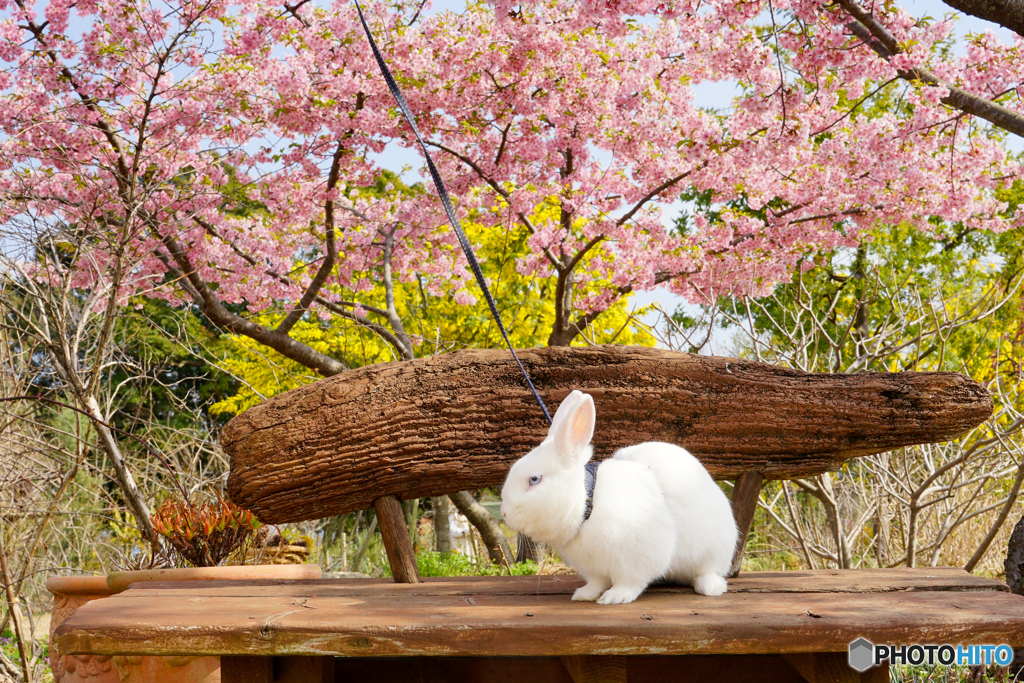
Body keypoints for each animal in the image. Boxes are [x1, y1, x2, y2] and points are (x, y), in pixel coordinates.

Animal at [497, 389, 733, 602]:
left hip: (713, 551)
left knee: (709, 571)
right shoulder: (593, 568)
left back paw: (709, 587)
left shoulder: (638, 558)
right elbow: (596, 582)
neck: (588, 505)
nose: (504, 513)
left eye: (534, 479)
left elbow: (630, 582)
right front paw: (584, 595)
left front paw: (614, 597)